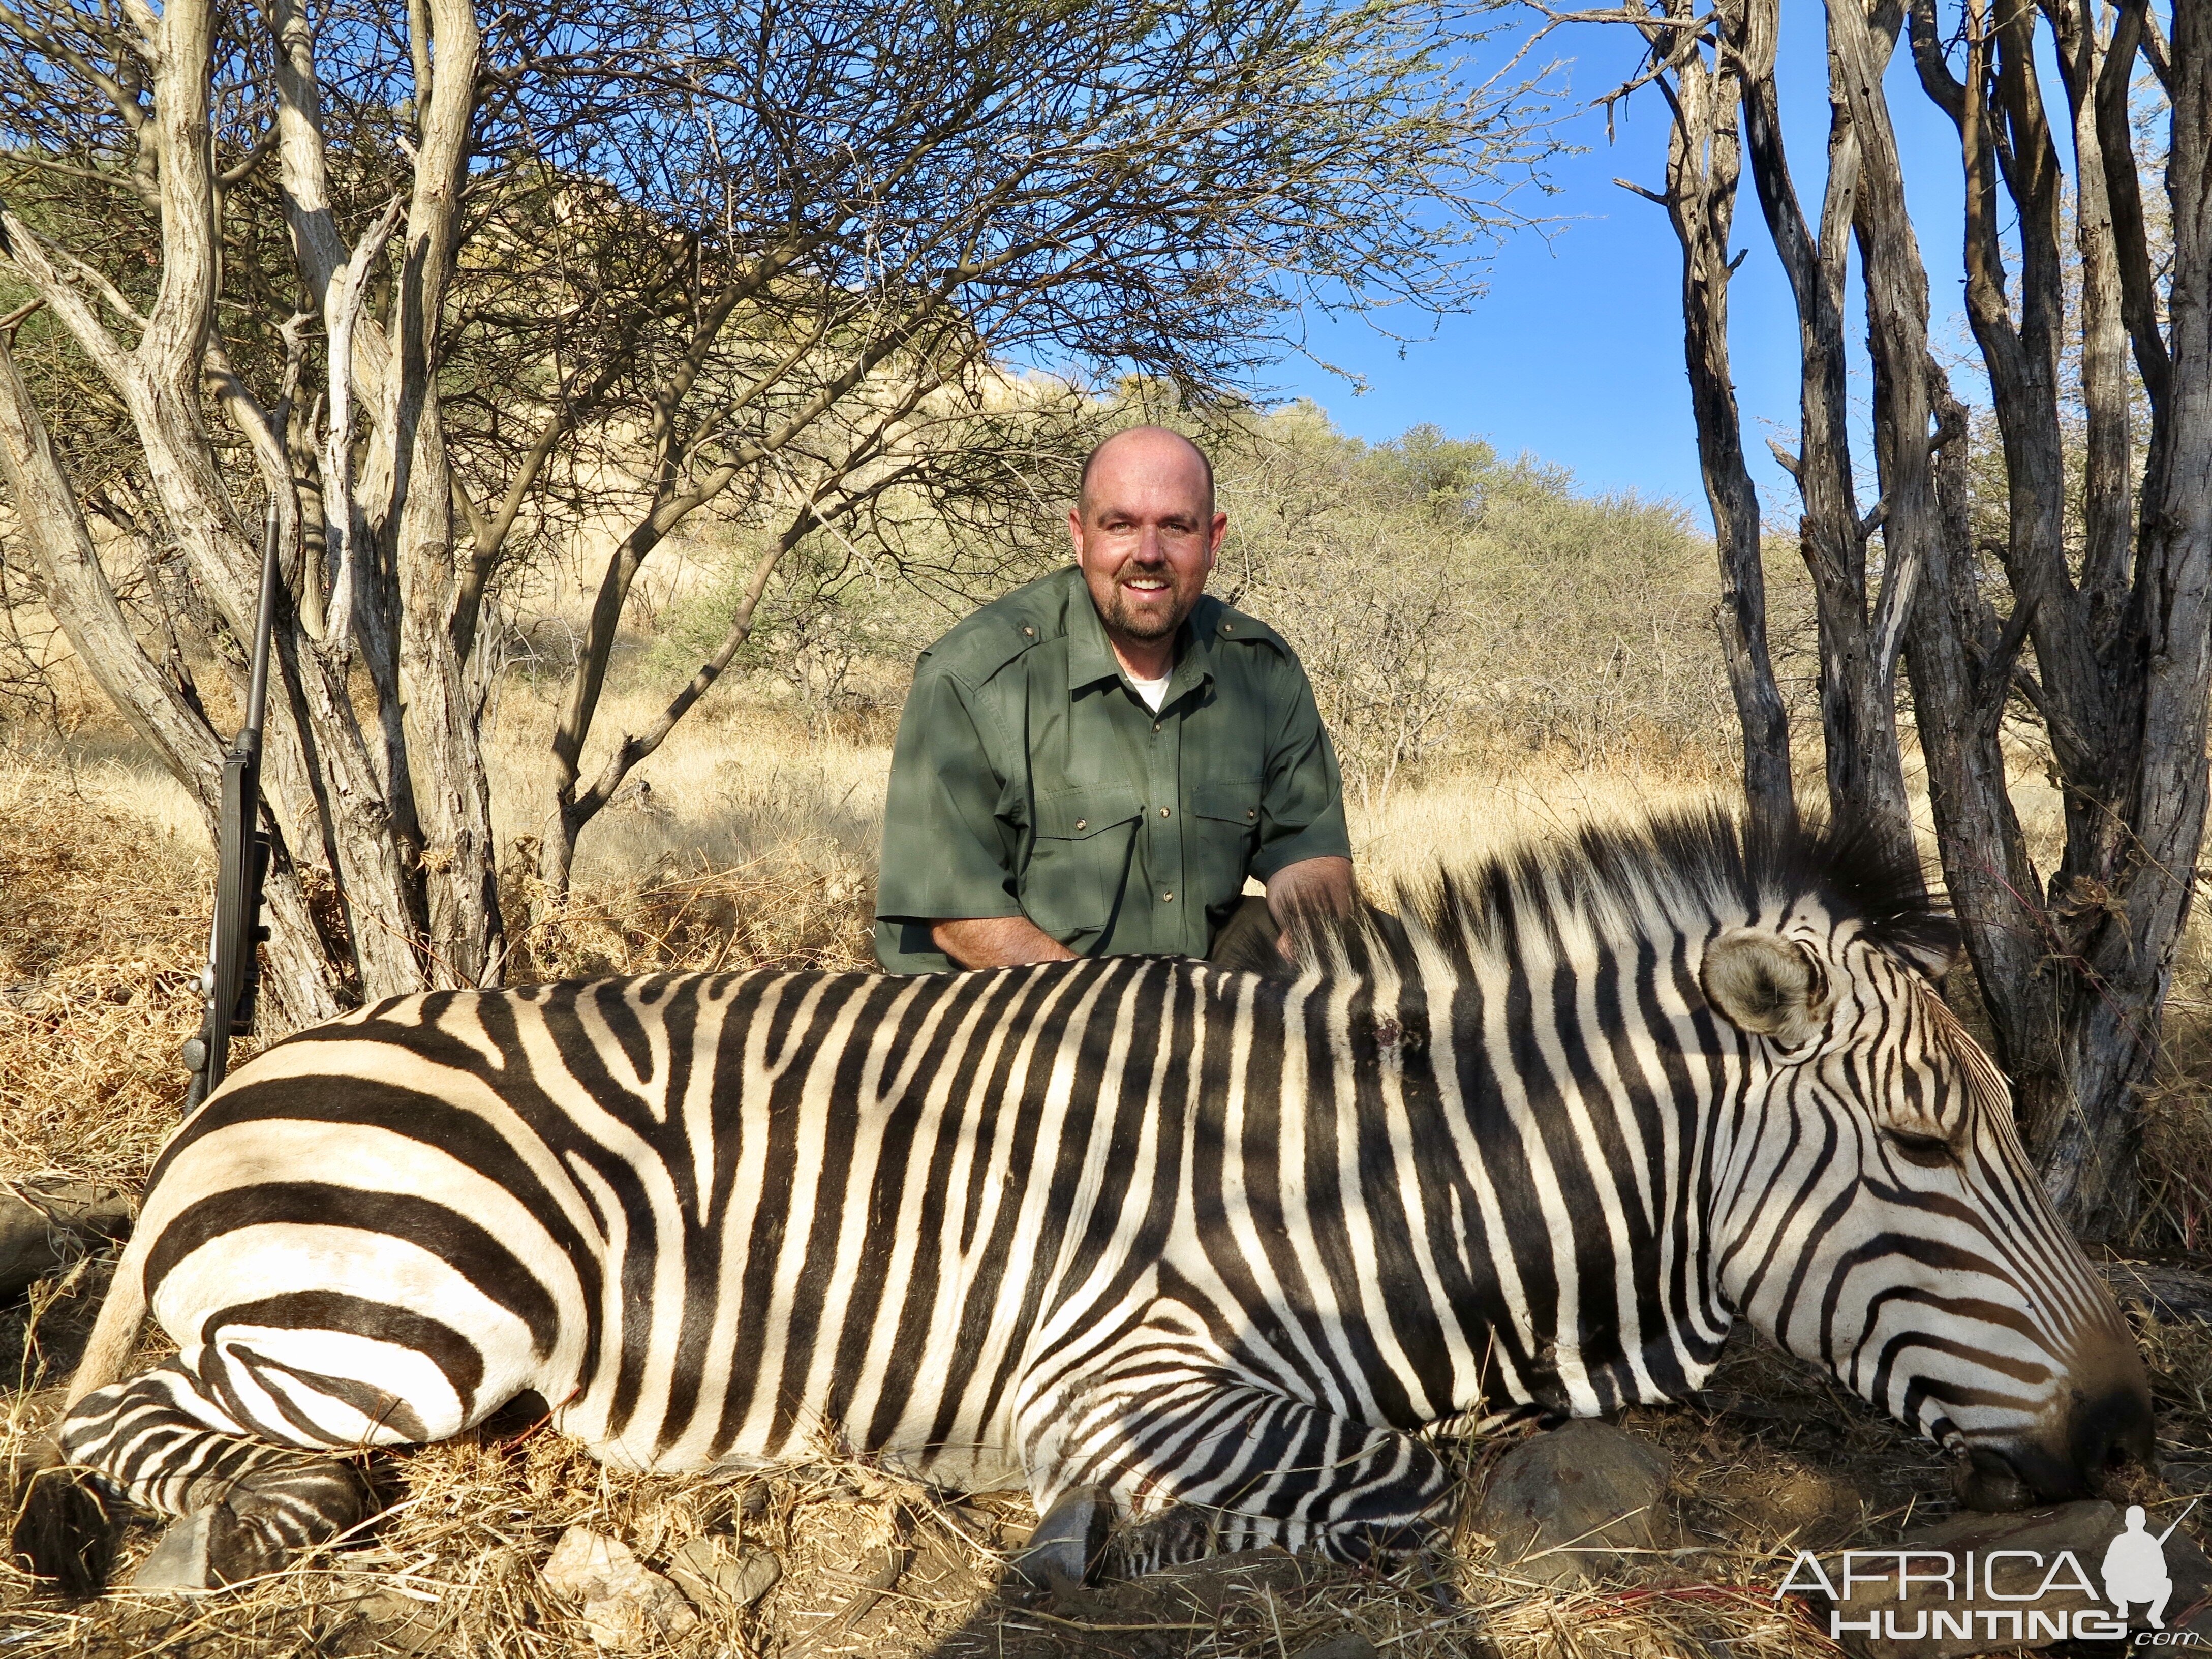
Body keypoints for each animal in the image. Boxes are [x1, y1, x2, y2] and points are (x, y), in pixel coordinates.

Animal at [13, 814, 2141, 1601]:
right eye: (1927, 1147)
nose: (2129, 1425)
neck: (1399, 1172)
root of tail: (245, 1077)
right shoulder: (1115, 1365)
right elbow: (1396, 1487)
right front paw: (1082, 1541)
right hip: (412, 1316)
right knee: (135, 1421)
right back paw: (236, 1528)